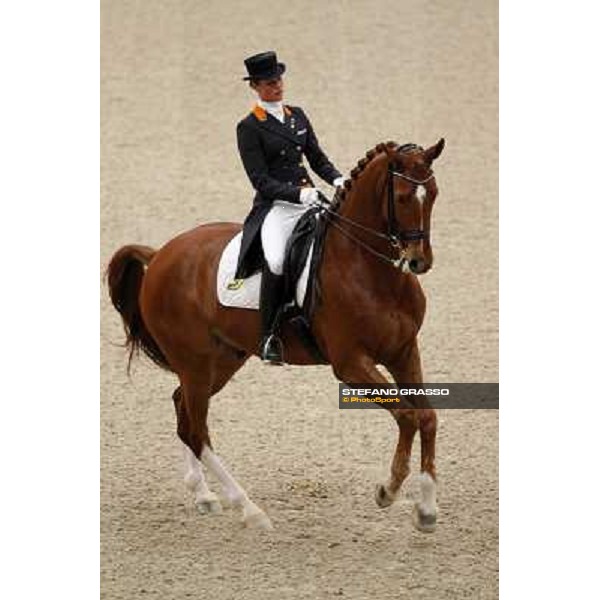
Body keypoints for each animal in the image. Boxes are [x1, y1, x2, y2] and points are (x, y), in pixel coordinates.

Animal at [108, 139, 446, 528]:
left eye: (433, 193)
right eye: (403, 198)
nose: (419, 261)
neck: (371, 270)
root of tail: (161, 254)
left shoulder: (403, 351)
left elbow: (427, 417)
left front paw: (427, 509)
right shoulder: (350, 364)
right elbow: (407, 416)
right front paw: (387, 491)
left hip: (223, 359)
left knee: (183, 410)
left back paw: (204, 494)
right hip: (195, 361)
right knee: (195, 429)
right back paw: (249, 509)